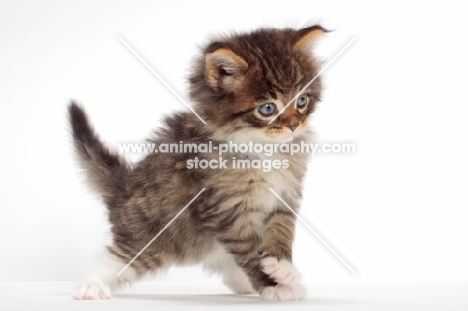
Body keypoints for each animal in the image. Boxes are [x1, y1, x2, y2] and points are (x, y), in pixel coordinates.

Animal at [69, 25, 328, 302]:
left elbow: (281, 232)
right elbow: (248, 250)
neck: (264, 148)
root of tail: (123, 187)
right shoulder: (227, 209)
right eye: (268, 108)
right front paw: (272, 285)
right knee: (114, 259)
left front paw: (283, 270)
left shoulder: (285, 194)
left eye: (302, 101)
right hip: (150, 238)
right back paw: (91, 286)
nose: (294, 125)